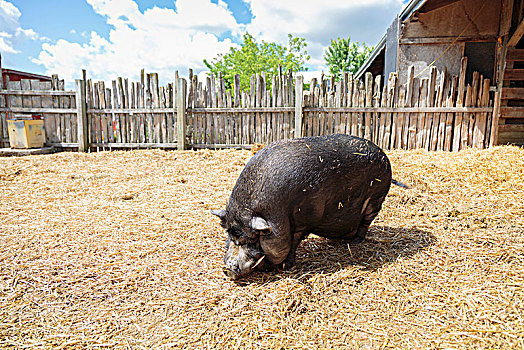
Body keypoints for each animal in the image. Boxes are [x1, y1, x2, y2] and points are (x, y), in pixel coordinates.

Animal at [213, 134, 398, 278]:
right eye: (231, 236)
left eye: (251, 239)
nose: (227, 268)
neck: (277, 214)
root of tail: (383, 154)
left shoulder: (304, 220)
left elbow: (294, 242)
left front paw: (287, 266)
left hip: (376, 199)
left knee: (366, 222)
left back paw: (356, 241)